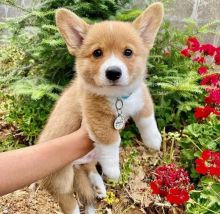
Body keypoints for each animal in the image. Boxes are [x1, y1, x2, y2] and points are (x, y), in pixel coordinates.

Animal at [38, 2, 163, 214]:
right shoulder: (96, 117)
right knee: (69, 201)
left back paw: (98, 186)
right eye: (97, 53)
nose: (113, 72)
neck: (118, 97)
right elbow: (111, 140)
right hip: (61, 180)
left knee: (88, 167)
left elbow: (147, 118)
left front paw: (154, 140)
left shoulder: (140, 96)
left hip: (86, 160)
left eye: (128, 52)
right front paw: (113, 170)